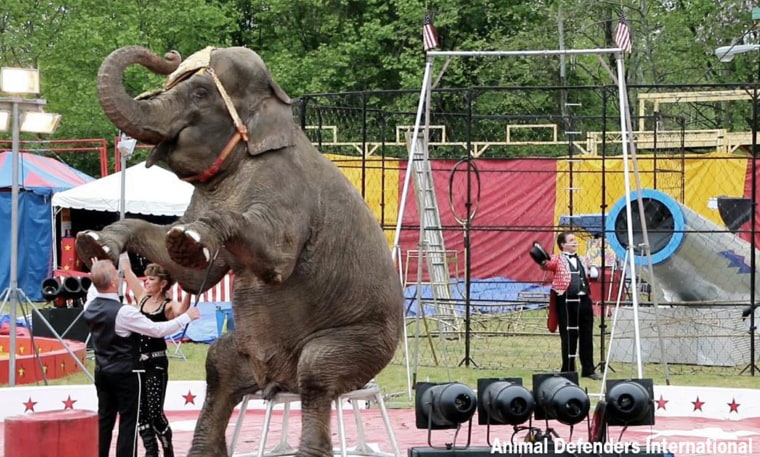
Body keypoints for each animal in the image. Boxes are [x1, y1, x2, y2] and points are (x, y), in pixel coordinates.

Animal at [78, 46, 404, 456]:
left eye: (200, 93)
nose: (169, 55)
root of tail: (280, 384)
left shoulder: (288, 189)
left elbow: (276, 260)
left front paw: (189, 239)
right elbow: (194, 274)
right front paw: (97, 241)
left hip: (366, 343)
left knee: (316, 371)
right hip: (252, 357)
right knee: (218, 365)